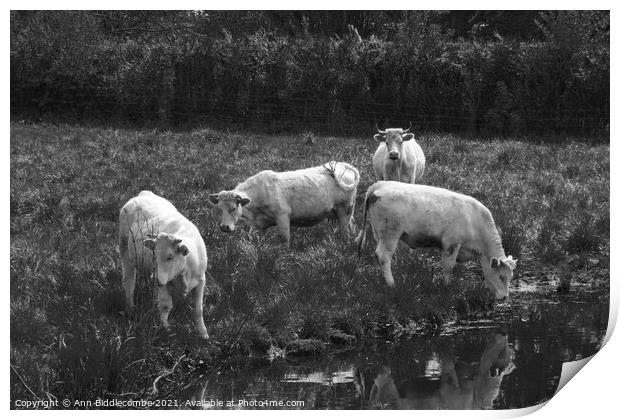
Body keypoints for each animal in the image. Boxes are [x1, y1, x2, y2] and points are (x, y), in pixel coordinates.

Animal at [118, 190, 211, 338]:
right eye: (154, 255)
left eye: (170, 257)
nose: (154, 278)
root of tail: (144, 194)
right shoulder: (162, 283)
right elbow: (165, 304)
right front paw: (165, 329)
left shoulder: (201, 280)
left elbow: (198, 310)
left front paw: (203, 334)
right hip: (124, 249)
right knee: (129, 282)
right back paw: (130, 309)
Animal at [211, 161, 360, 246]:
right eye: (220, 209)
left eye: (234, 207)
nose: (224, 227)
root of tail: (342, 165)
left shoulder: (282, 216)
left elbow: (284, 239)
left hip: (345, 211)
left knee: (345, 232)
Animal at [356, 181, 516, 298]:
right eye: (501, 276)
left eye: (510, 277)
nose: (505, 297)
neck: (474, 219)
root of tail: (379, 185)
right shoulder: (452, 244)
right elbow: (449, 266)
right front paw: (447, 286)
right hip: (391, 235)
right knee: (384, 256)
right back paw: (392, 284)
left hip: (379, 234)